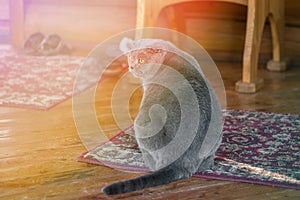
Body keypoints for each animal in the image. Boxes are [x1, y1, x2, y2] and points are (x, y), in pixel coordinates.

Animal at [102, 38, 223, 195]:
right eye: (130, 57)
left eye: (141, 60)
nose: (131, 66)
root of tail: (183, 161)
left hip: (142, 123)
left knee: (155, 164)